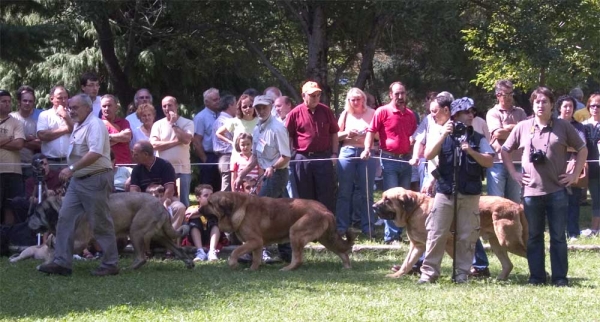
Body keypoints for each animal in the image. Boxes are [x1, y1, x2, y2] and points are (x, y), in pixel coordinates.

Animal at [199, 191, 354, 272]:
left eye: (210, 203)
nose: (199, 209)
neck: (238, 207)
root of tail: (326, 211)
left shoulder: (254, 240)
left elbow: (236, 251)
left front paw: (233, 263)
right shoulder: (257, 243)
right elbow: (256, 258)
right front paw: (252, 269)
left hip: (295, 232)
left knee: (298, 259)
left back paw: (287, 268)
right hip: (326, 239)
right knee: (343, 252)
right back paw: (346, 267)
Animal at [376, 187, 528, 280]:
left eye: (387, 200)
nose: (373, 206)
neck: (414, 209)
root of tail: (517, 206)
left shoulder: (448, 241)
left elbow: (457, 260)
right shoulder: (418, 246)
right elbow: (407, 263)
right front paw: (397, 275)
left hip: (508, 241)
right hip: (497, 243)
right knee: (508, 264)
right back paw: (500, 279)